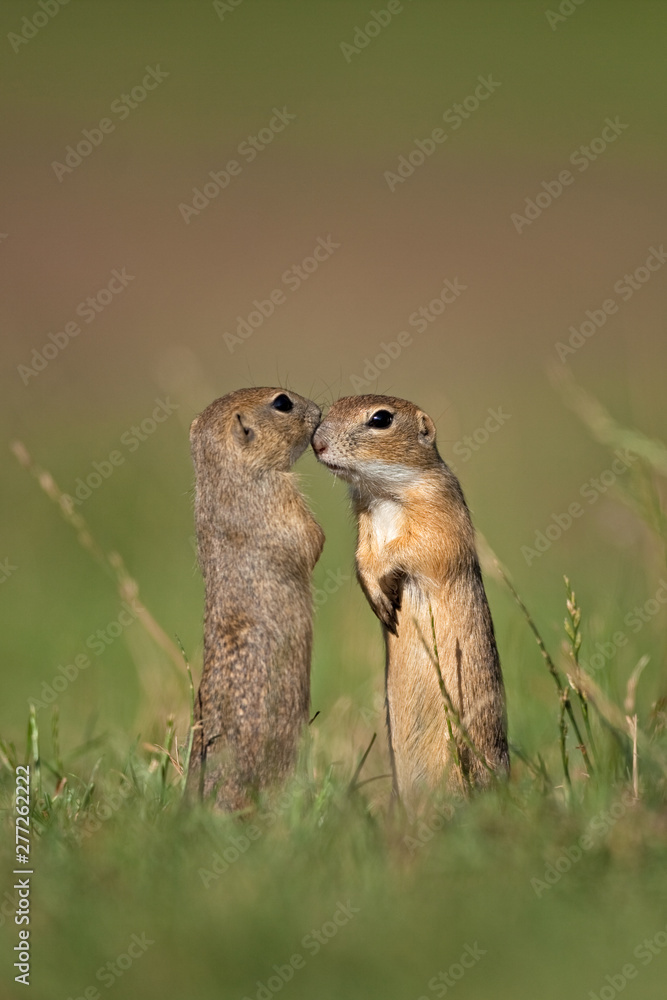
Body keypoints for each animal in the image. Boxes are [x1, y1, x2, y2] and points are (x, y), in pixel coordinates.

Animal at [312, 394, 508, 801]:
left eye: (381, 419)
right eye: (331, 407)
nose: (315, 443)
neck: (383, 493)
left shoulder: (440, 513)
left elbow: (420, 548)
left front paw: (387, 584)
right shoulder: (365, 522)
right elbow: (363, 558)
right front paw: (380, 601)